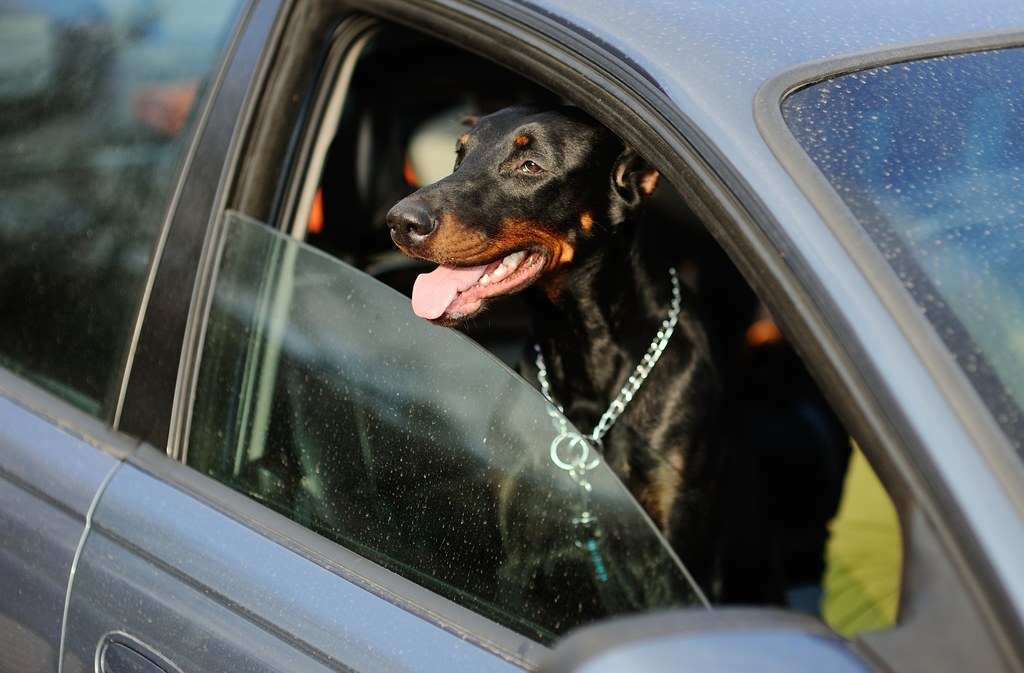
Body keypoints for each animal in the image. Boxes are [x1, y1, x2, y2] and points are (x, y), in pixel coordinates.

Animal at [385, 104, 729, 598]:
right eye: (460, 155)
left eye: (530, 166)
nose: (399, 222)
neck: (580, 348)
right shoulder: (521, 549)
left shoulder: (673, 555)